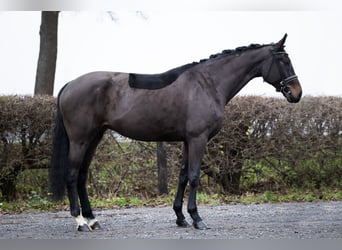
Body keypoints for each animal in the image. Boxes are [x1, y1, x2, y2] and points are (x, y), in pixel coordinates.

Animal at [49, 34, 300, 231]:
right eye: (284, 60)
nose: (296, 93)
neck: (208, 84)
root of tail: (71, 84)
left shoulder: (188, 140)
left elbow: (182, 176)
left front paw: (180, 217)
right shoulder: (198, 139)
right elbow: (194, 176)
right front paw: (197, 218)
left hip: (94, 137)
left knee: (82, 176)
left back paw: (93, 219)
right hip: (80, 140)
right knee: (72, 175)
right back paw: (80, 221)